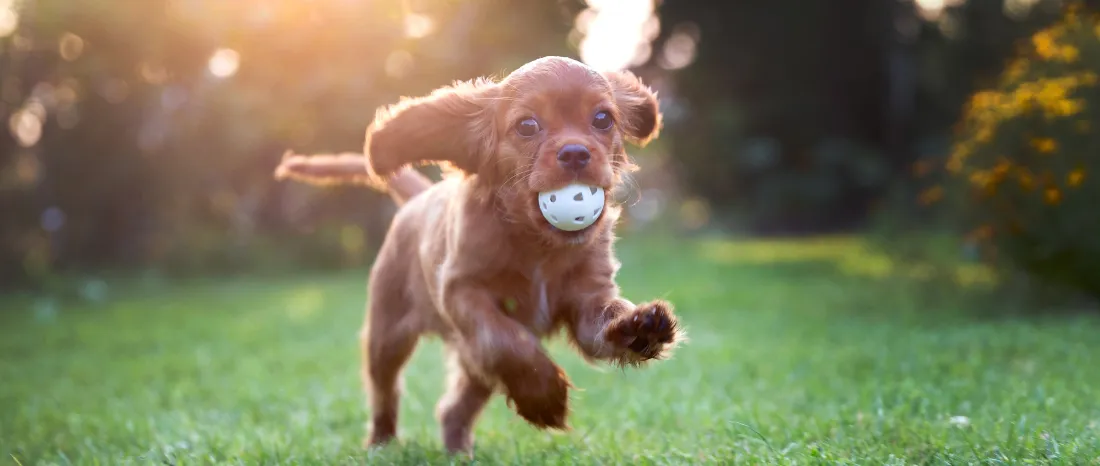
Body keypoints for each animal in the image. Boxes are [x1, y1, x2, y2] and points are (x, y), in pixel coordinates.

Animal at [275, 54, 682, 455]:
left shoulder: (587, 297)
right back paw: (382, 443)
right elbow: (507, 340)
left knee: (453, 407)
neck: (537, 244)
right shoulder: (462, 292)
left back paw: (459, 452)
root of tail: (419, 197)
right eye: (527, 125)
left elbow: (600, 325)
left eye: (602, 119)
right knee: (385, 390)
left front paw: (640, 328)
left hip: (469, 364)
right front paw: (543, 397)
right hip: (387, 334)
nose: (576, 153)